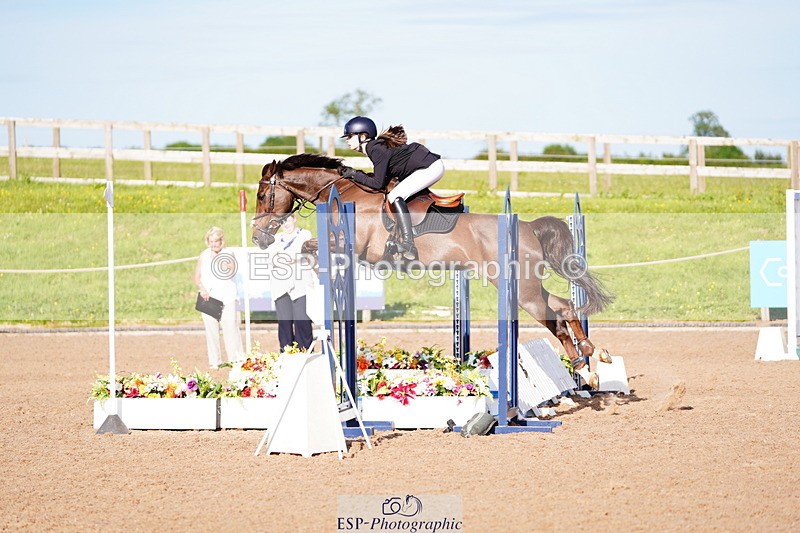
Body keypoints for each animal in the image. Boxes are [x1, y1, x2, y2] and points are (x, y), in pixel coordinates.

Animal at [251, 153, 615, 387]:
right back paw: (591, 360)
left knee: (556, 314)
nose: (257, 237)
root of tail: (527, 226)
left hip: (521, 291)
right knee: (562, 307)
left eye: (262, 194)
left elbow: (308, 246)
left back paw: (585, 363)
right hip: (524, 287)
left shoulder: (353, 244)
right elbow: (308, 247)